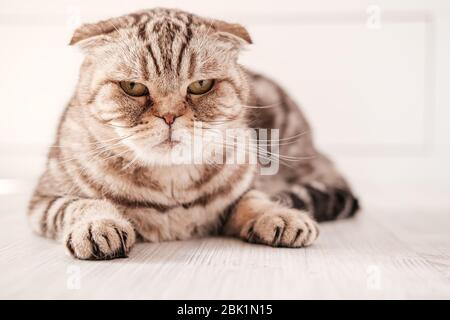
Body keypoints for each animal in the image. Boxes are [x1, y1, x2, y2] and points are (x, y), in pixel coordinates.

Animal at [27, 8, 358, 260]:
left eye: (201, 85)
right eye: (133, 87)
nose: (170, 116)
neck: (171, 186)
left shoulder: (245, 188)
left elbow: (255, 200)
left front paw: (282, 216)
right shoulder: (43, 199)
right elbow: (80, 204)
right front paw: (97, 226)